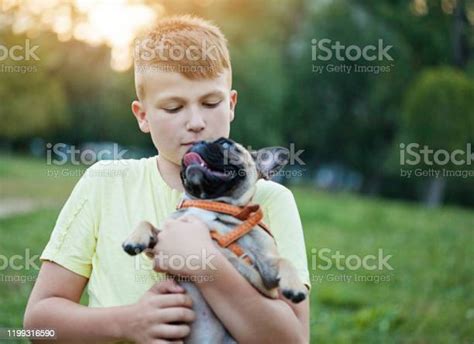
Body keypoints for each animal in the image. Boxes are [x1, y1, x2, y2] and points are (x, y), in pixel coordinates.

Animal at [121, 138, 308, 344]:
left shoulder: (267, 274)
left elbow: (285, 261)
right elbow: (146, 222)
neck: (208, 203)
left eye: (226, 144)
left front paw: (295, 286)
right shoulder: (159, 242)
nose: (198, 142)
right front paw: (135, 239)